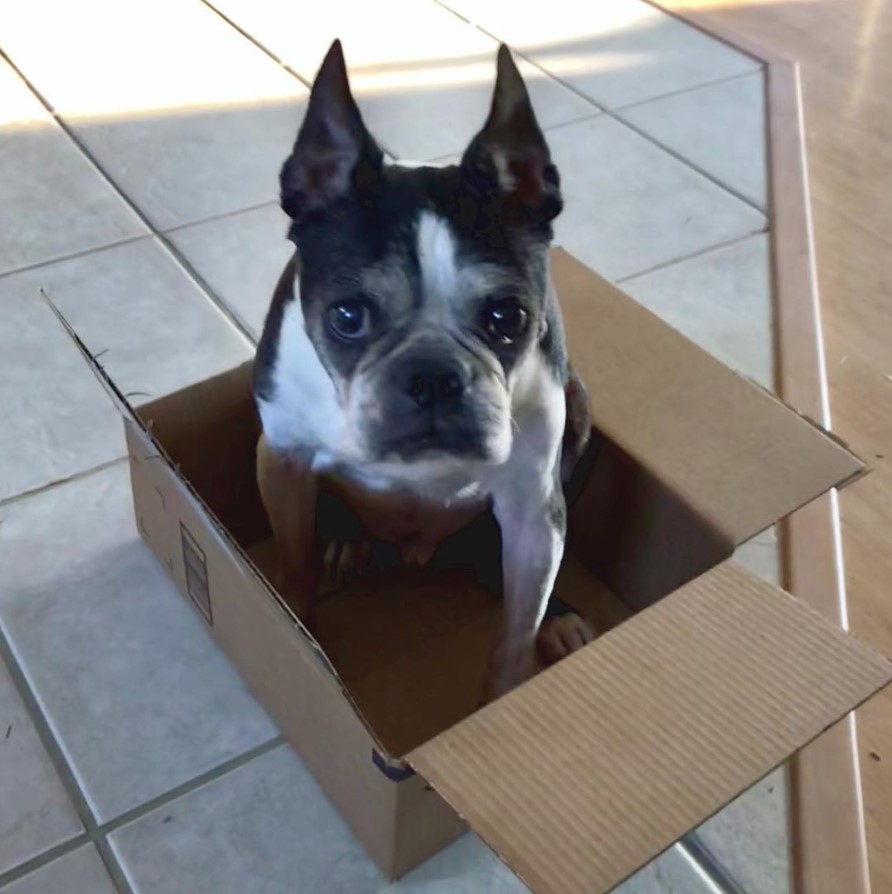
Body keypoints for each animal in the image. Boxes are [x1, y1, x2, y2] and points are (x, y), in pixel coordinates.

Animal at [254, 40, 596, 700]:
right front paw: (300, 637)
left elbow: (516, 631)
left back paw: (561, 619)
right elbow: (295, 564)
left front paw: (507, 692)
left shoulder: (533, 507)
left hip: (581, 414)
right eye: (347, 316)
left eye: (508, 316)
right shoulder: (281, 460)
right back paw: (343, 544)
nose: (433, 376)